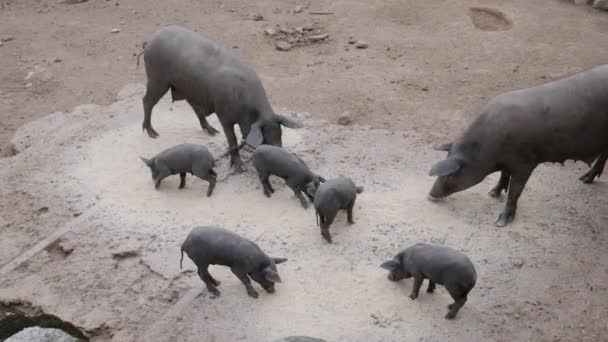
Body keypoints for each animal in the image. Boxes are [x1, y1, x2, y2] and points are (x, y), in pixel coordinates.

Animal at [143, 25, 304, 172]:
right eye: (265, 139)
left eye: (280, 135)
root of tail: (150, 40)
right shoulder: (223, 115)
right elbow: (232, 140)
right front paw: (239, 169)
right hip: (157, 80)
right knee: (147, 101)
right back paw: (152, 134)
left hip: (186, 88)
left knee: (194, 107)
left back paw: (212, 131)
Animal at [428, 66, 608, 227]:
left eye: (450, 175)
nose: (430, 195)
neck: (488, 150)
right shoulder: (508, 161)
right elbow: (503, 175)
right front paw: (492, 194)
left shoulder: (525, 163)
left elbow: (515, 190)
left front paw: (500, 222)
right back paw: (585, 179)